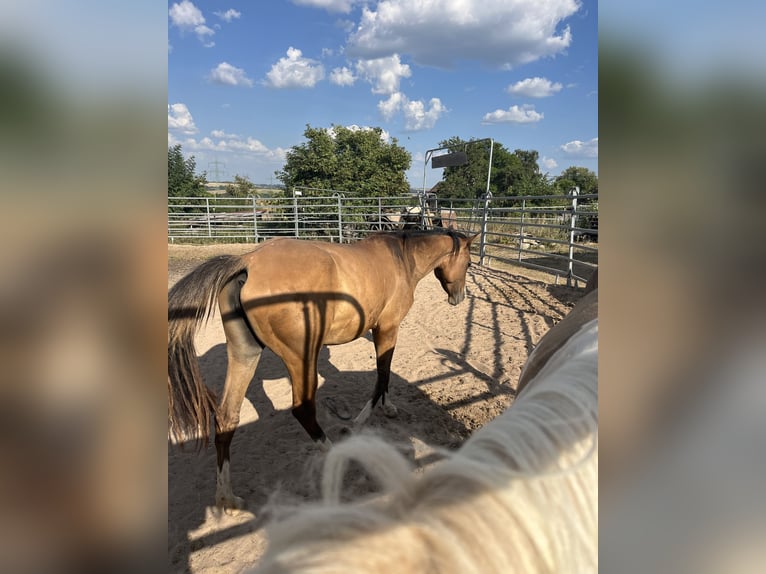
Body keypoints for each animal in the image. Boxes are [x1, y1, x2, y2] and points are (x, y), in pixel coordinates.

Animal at [171, 227, 476, 510]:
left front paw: (387, 407)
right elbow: (382, 373)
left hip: (245, 353)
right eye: (470, 262)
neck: (401, 260)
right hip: (302, 357)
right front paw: (362, 418)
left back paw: (227, 498)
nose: (459, 298)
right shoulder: (387, 329)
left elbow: (385, 372)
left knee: (227, 417)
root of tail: (248, 261)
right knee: (303, 410)